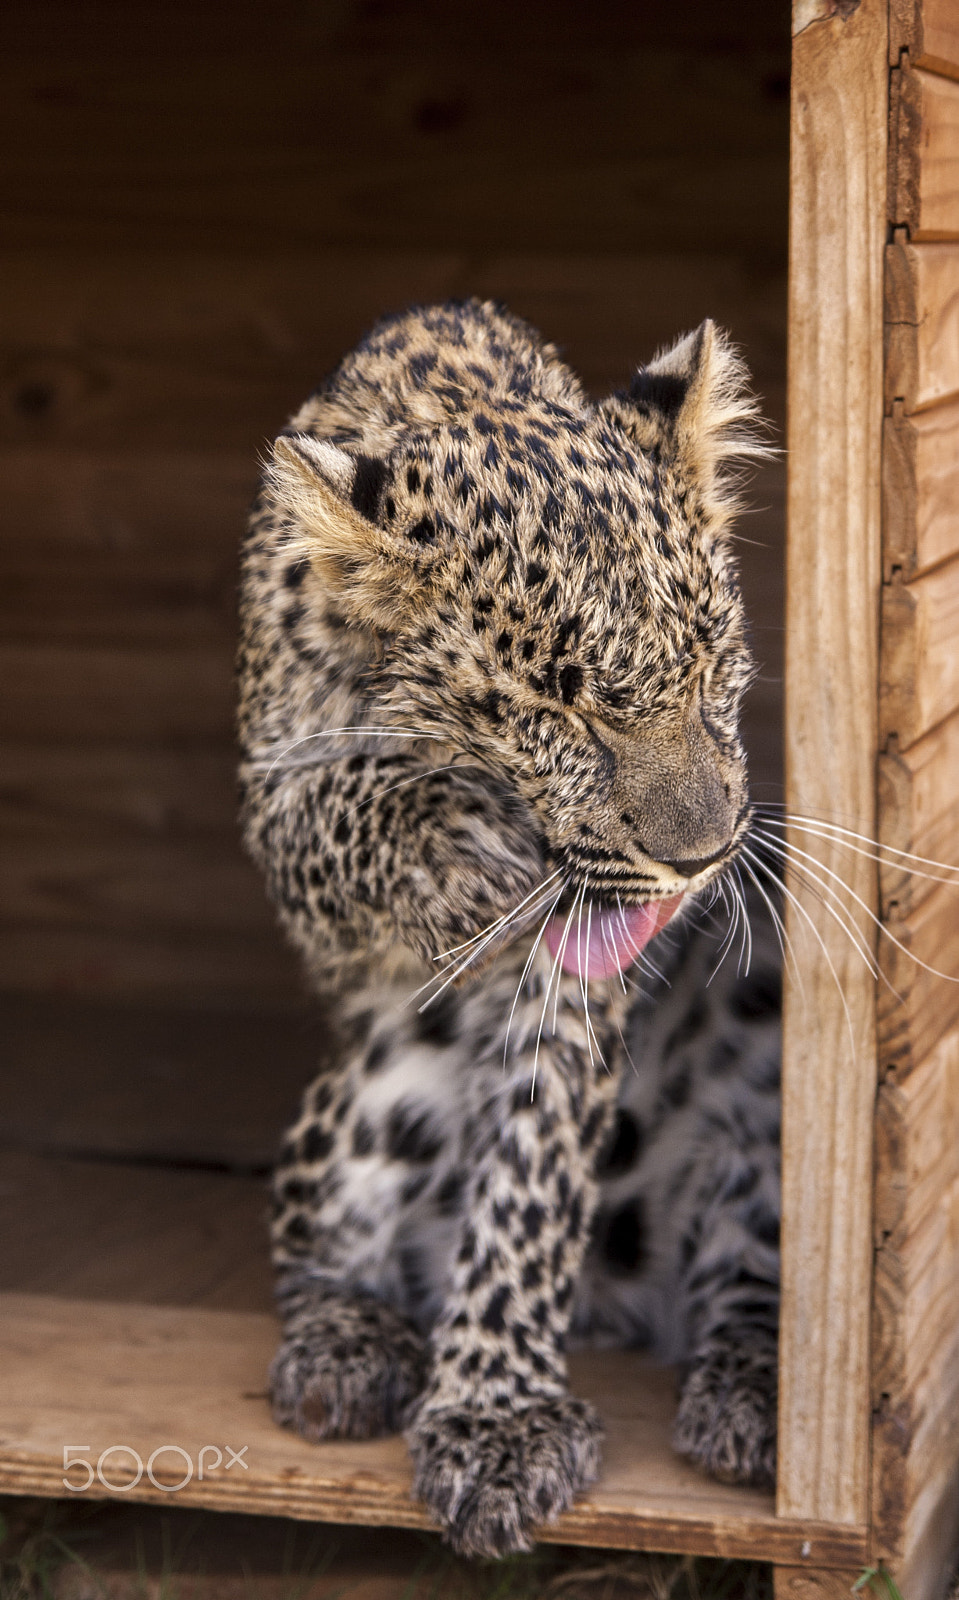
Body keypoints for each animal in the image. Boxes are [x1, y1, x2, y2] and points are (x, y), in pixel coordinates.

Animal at [236, 298, 781, 1559]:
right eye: (556, 708)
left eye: (709, 664)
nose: (696, 860)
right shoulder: (272, 799)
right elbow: (348, 801)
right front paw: (466, 853)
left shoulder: (584, 973)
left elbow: (530, 1173)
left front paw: (496, 1416)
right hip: (369, 1089)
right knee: (309, 1233)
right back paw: (344, 1349)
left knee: (748, 1266)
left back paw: (753, 1395)